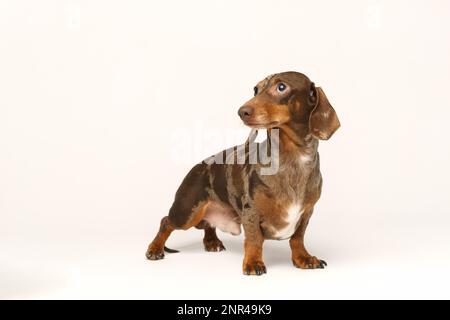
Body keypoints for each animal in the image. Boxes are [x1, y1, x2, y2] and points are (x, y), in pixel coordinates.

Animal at [146, 70, 340, 276]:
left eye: (281, 87)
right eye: (256, 89)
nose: (242, 112)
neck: (293, 159)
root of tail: (197, 166)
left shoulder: (307, 212)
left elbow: (297, 238)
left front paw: (303, 258)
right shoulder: (251, 211)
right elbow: (254, 240)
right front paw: (253, 262)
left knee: (208, 225)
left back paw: (212, 241)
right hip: (187, 212)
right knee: (166, 222)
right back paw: (154, 249)